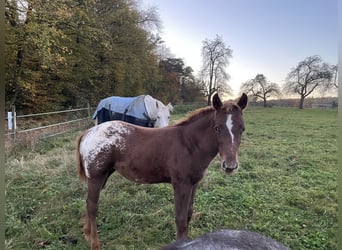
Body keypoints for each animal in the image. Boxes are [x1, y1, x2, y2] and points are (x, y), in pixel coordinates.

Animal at [77, 93, 248, 249]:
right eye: (217, 128)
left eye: (242, 129)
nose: (230, 166)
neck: (189, 144)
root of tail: (88, 132)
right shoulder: (181, 184)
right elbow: (180, 219)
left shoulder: (194, 183)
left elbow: (188, 214)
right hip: (96, 176)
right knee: (92, 206)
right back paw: (95, 243)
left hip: (104, 175)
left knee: (87, 202)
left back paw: (86, 233)